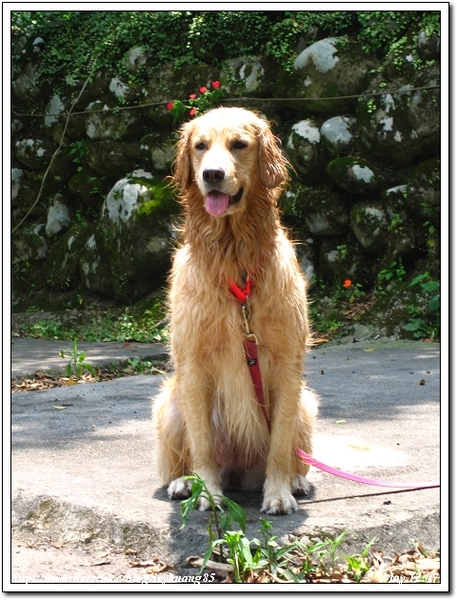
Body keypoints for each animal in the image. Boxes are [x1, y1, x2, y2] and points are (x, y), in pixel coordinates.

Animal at [153, 107, 317, 515]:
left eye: (239, 144)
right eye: (200, 146)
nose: (212, 174)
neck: (234, 258)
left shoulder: (287, 365)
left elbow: (279, 443)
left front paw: (278, 493)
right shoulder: (192, 365)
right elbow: (202, 443)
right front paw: (207, 492)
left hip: (307, 403)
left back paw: (296, 481)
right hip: (167, 404)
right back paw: (183, 481)